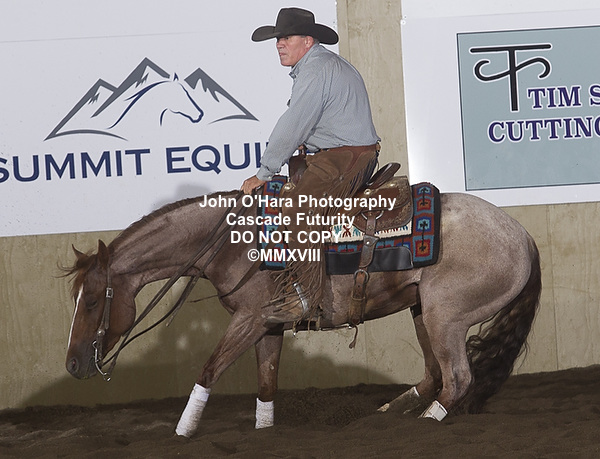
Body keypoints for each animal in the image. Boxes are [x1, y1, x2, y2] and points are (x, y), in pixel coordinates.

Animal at [64, 187, 541, 437]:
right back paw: (386, 415)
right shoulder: (270, 325)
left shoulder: (251, 318)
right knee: (434, 374)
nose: (71, 364)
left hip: (445, 316)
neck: (235, 242)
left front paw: (182, 433)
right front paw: (264, 430)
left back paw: (422, 424)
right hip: (422, 310)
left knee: (457, 378)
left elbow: (209, 370)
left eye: (92, 300)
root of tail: (522, 235)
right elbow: (266, 383)